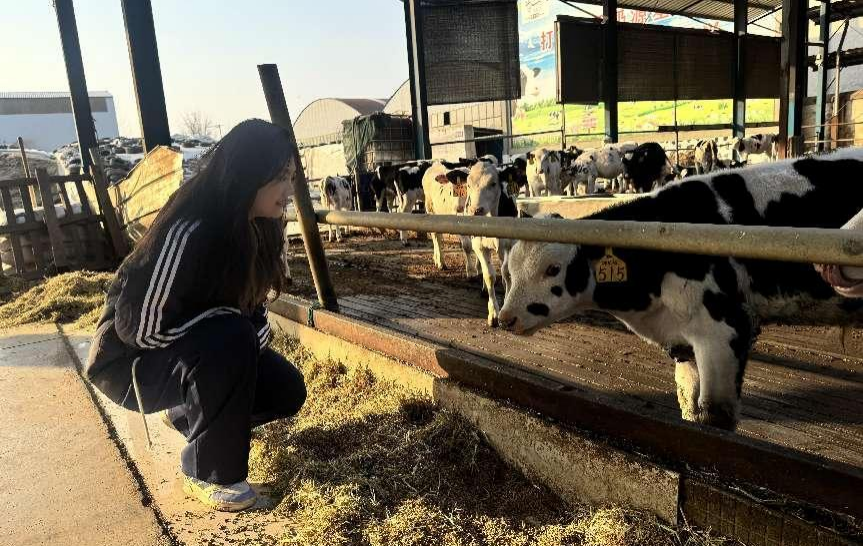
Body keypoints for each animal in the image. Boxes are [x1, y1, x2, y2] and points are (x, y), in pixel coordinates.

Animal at [498, 147, 863, 432]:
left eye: (553, 269)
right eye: (509, 272)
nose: (506, 319)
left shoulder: (726, 329)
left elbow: (714, 415)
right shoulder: (684, 341)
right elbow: (690, 406)